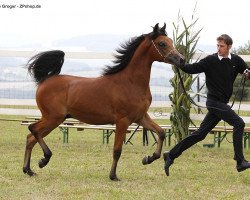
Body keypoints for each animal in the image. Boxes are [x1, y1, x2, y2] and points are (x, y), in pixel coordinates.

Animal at [23, 22, 184, 180]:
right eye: (162, 43)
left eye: (171, 41)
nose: (181, 59)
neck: (130, 83)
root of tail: (45, 80)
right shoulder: (123, 121)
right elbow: (117, 150)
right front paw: (113, 176)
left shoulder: (140, 117)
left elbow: (161, 133)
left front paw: (148, 159)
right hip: (53, 118)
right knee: (33, 129)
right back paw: (44, 160)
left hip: (55, 119)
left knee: (31, 137)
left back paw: (29, 170)